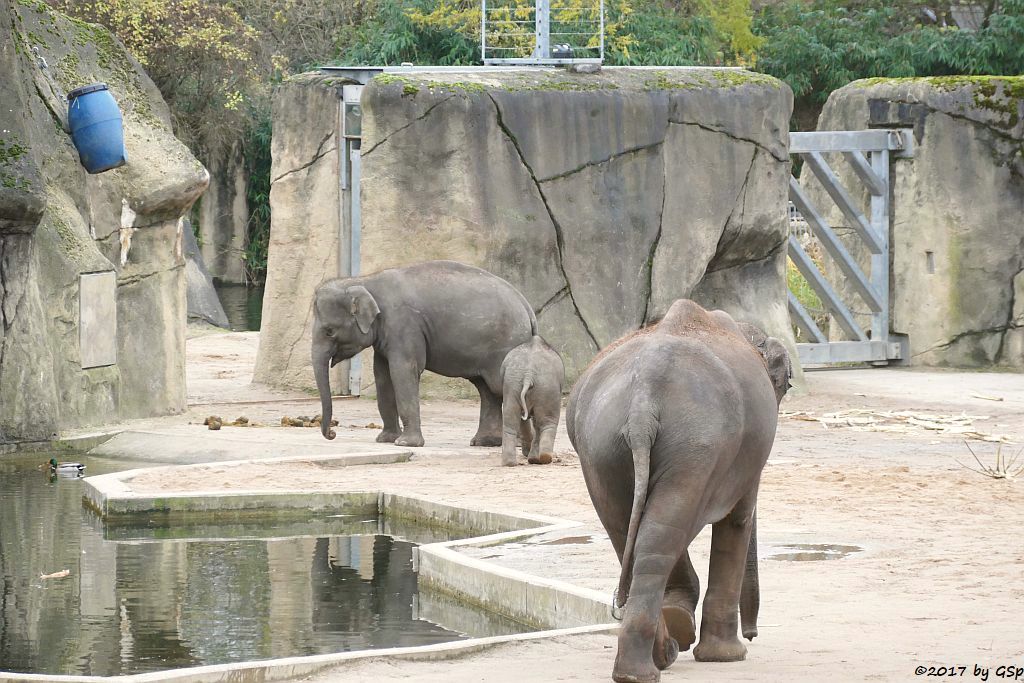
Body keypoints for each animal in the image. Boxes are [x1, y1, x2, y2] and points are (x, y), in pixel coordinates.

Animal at [311, 259, 536, 446]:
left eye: (330, 331)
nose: (332, 433)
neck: (365, 280)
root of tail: (527, 307)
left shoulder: (404, 325)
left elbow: (403, 371)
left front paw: (405, 444)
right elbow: (382, 376)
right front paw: (385, 440)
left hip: (507, 344)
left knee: (501, 386)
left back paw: (517, 444)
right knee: (487, 389)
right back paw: (485, 442)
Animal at [569, 301, 790, 683]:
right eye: (786, 385)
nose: (753, 634)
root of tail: (643, 401)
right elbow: (738, 518)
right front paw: (727, 657)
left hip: (603, 446)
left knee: (634, 535)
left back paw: (652, 661)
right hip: (695, 443)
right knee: (660, 534)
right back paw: (654, 663)